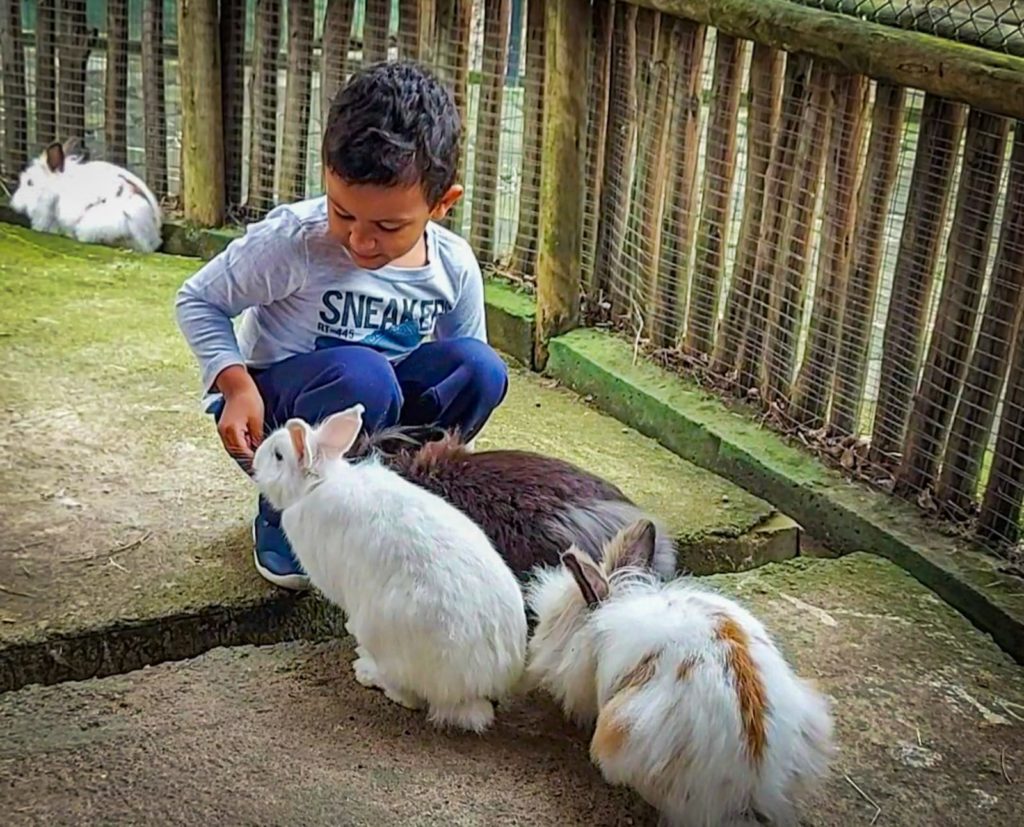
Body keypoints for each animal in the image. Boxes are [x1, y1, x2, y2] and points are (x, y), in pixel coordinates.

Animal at [251, 403, 528, 732]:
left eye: (278, 455)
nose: (255, 458)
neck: (317, 484)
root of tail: (475, 690)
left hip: (383, 632)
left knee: (409, 697)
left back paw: (365, 670)